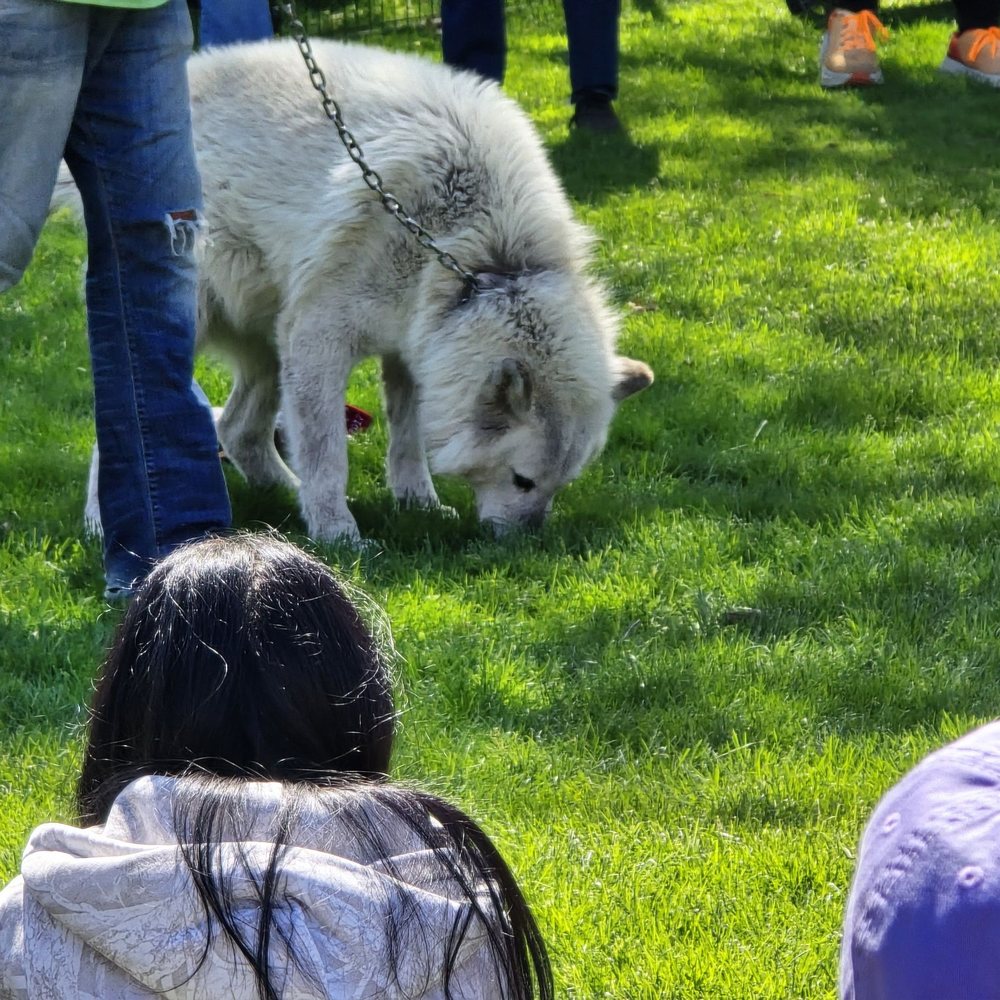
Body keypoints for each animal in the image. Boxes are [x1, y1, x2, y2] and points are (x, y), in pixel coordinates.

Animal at [84, 38, 652, 543]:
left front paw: (418, 504)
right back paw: (103, 525)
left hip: (270, 345)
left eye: (561, 485)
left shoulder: (417, 345)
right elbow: (326, 453)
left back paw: (281, 496)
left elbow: (407, 439)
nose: (528, 545)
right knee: (122, 432)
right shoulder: (320, 341)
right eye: (523, 481)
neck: (481, 259)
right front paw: (338, 535)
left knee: (237, 430)